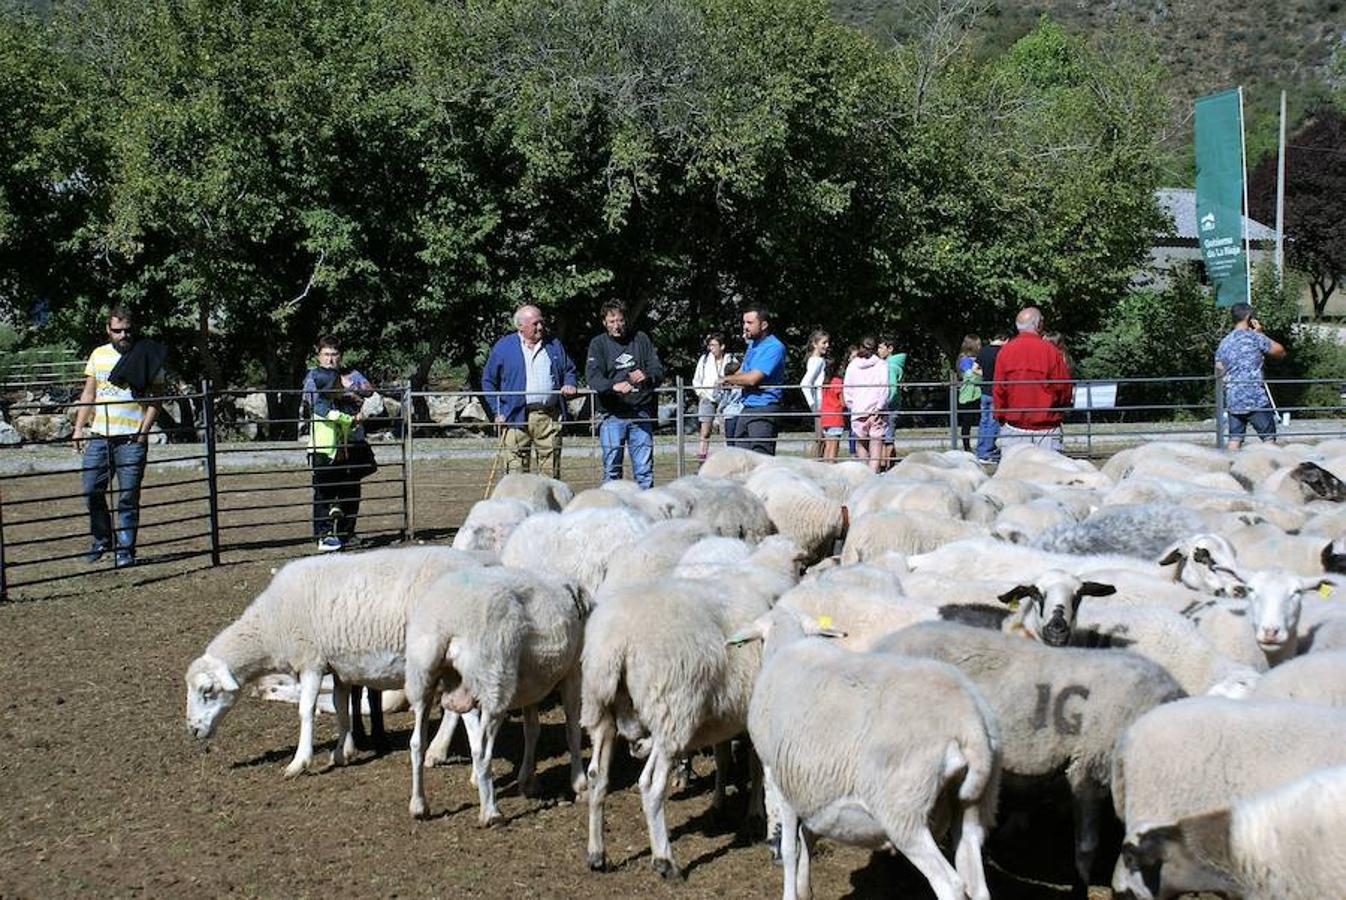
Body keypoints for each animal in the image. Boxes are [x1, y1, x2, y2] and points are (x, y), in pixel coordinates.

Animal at [185, 543, 484, 774]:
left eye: (207, 691)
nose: (193, 731)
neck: (270, 625)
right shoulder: (338, 667)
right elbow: (342, 707)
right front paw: (343, 752)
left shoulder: (311, 662)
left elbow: (305, 710)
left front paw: (299, 762)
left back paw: (437, 751)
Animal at [401, 565, 586, 823]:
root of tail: (447, 621)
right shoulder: (572, 672)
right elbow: (572, 731)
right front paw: (580, 784)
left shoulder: (530, 682)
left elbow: (532, 730)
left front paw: (527, 780)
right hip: (494, 683)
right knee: (481, 750)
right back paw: (490, 812)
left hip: (422, 678)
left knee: (417, 742)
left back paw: (419, 805)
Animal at [726, 602, 1001, 898]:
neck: (788, 645)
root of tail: (969, 723)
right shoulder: (810, 786)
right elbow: (806, 835)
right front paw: (804, 887)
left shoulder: (780, 778)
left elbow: (790, 848)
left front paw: (791, 891)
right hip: (974, 803)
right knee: (976, 880)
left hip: (904, 810)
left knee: (950, 883)